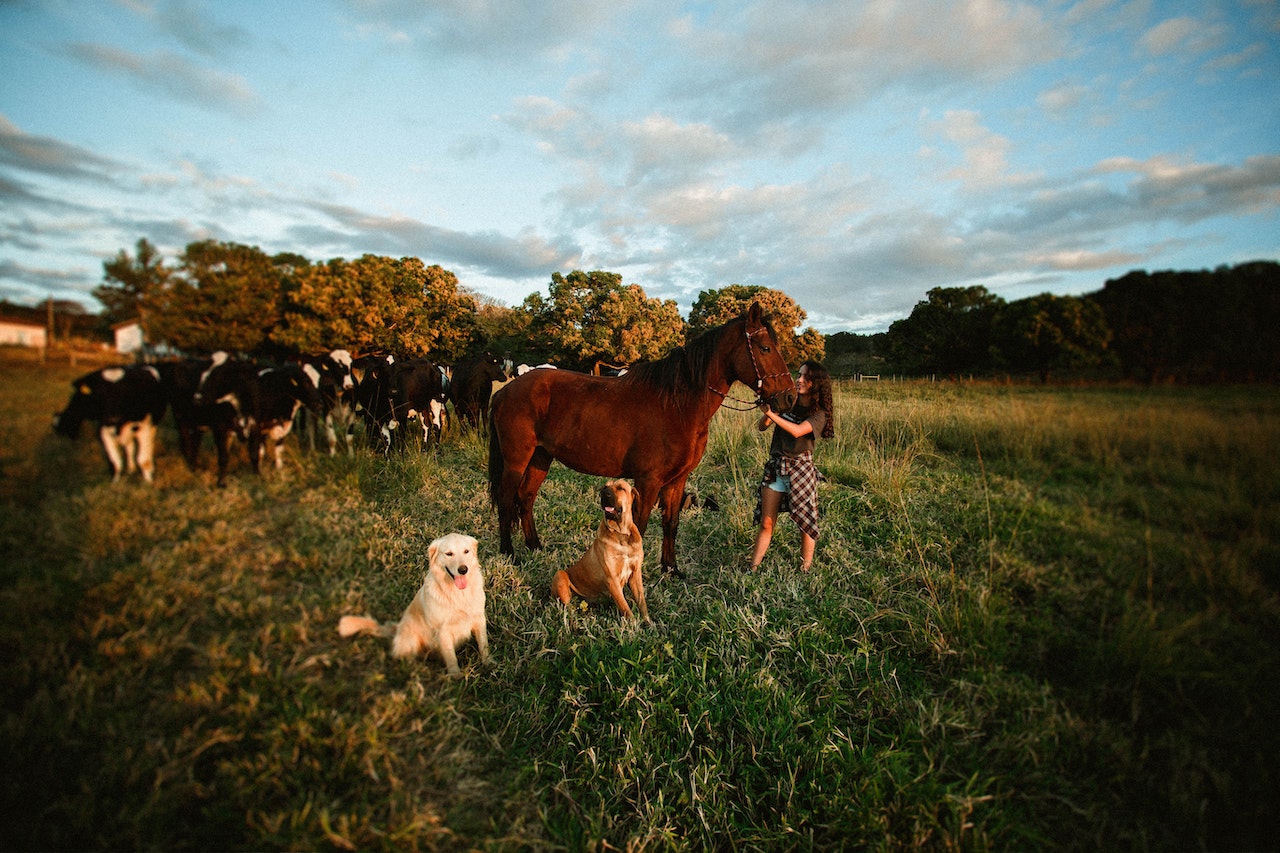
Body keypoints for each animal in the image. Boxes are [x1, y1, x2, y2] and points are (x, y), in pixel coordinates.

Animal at [340, 527, 488, 676]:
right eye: (449, 554)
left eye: (466, 551)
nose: (463, 570)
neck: (459, 594)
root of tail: (397, 628)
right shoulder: (443, 630)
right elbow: (450, 656)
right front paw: (455, 676)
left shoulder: (479, 618)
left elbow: (483, 644)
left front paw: (489, 663)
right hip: (411, 639)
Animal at [491, 302, 798, 573]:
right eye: (765, 348)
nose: (790, 398)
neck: (676, 405)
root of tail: (506, 390)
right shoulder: (648, 482)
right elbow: (638, 527)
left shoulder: (676, 481)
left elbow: (670, 523)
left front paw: (671, 569)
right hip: (517, 459)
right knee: (506, 500)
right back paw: (509, 554)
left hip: (540, 458)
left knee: (526, 498)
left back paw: (534, 546)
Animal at [552, 473, 650, 622]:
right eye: (605, 487)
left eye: (620, 488)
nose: (604, 493)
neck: (621, 533)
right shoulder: (612, 579)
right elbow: (625, 608)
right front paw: (634, 625)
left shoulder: (635, 574)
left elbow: (642, 602)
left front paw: (649, 623)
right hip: (560, 575)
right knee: (566, 605)